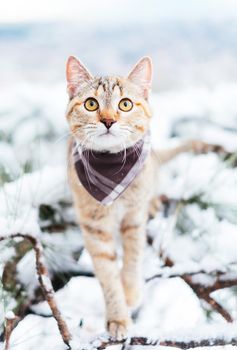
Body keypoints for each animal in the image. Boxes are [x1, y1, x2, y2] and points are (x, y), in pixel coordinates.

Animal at [65, 56, 217, 340]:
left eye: (125, 104)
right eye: (91, 104)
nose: (108, 120)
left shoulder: (134, 218)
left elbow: (133, 257)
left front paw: (131, 292)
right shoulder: (94, 228)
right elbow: (108, 274)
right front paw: (118, 316)